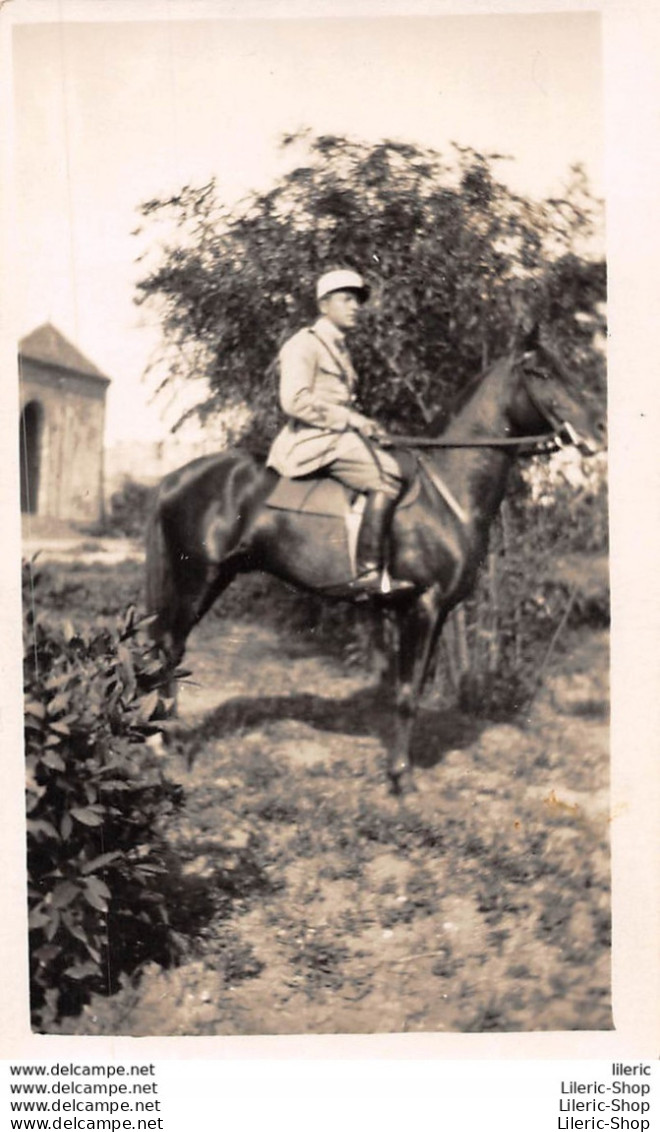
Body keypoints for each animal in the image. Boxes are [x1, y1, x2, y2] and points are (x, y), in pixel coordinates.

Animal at [144, 328, 602, 792]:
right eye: (541, 372)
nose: (597, 428)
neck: (446, 488)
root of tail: (174, 479)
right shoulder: (422, 606)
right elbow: (406, 694)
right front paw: (401, 777)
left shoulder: (433, 612)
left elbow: (413, 687)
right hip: (197, 577)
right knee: (170, 646)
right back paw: (172, 743)